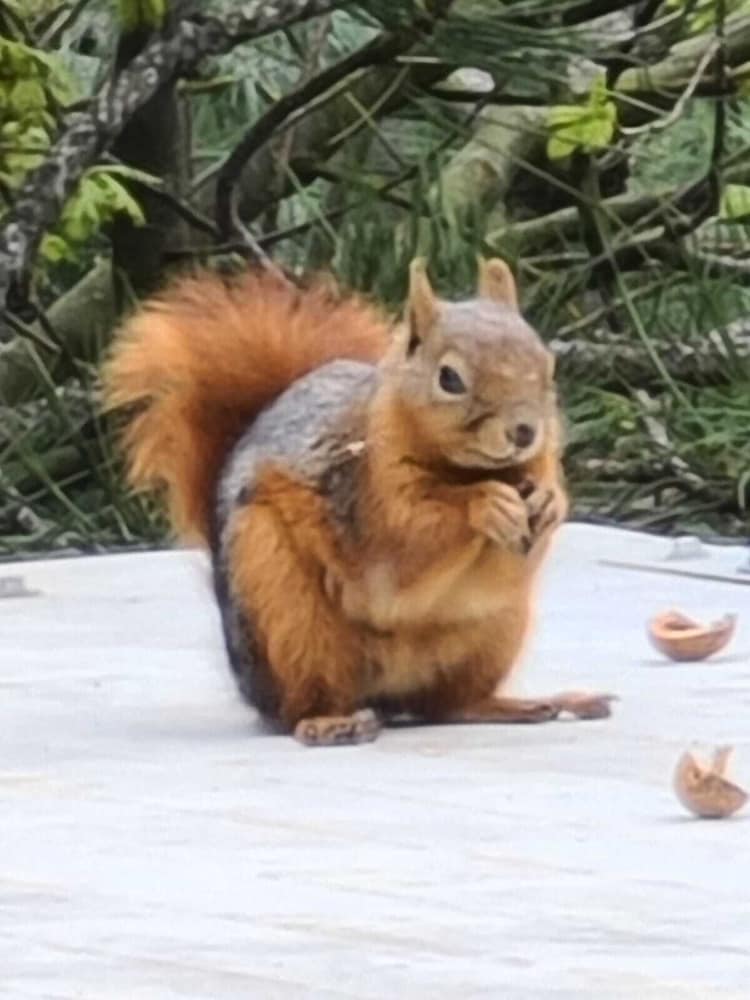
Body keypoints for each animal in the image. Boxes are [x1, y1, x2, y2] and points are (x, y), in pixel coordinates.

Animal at [104, 257, 613, 746]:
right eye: (449, 378)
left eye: (549, 365)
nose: (524, 431)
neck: (466, 470)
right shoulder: (368, 497)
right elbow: (408, 542)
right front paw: (486, 504)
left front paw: (550, 503)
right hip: (287, 614)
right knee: (301, 704)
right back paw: (329, 723)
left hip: (494, 629)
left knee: (446, 704)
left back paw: (518, 705)